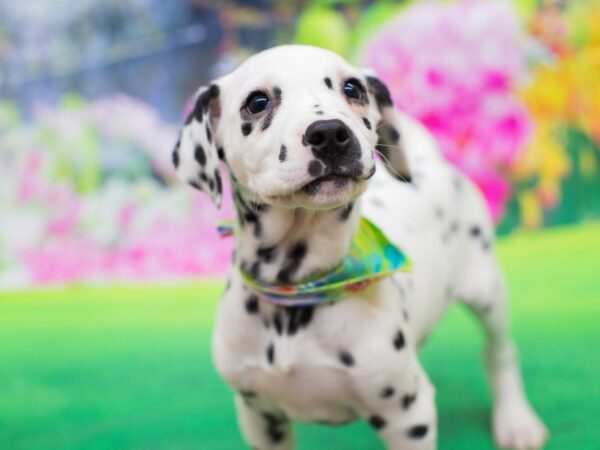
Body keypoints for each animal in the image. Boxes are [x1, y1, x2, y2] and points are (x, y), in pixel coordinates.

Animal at [170, 45, 548, 450]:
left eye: (353, 88)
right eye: (257, 102)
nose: (330, 133)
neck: (301, 289)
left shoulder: (408, 416)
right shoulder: (260, 418)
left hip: (486, 289)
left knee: (500, 352)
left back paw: (516, 420)